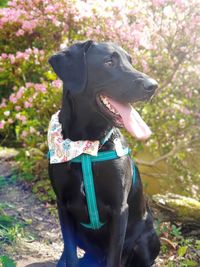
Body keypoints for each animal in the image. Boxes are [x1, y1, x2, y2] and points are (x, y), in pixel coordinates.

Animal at [47, 40, 160, 267]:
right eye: (109, 62)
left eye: (130, 61)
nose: (153, 86)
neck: (86, 148)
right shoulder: (62, 205)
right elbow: (70, 252)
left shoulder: (120, 210)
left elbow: (113, 257)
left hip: (147, 241)